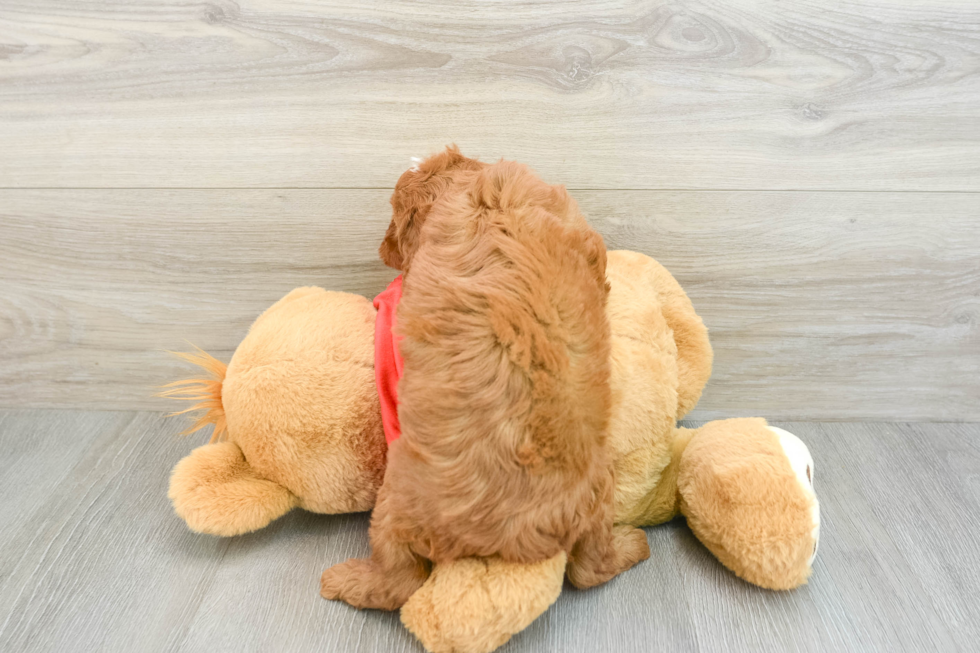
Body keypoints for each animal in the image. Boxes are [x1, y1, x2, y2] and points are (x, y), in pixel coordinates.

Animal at [318, 145, 648, 608]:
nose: (384, 251)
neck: (481, 193)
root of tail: (514, 538)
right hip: (599, 491)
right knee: (590, 569)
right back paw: (633, 545)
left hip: (392, 505)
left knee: (398, 582)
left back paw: (342, 581)